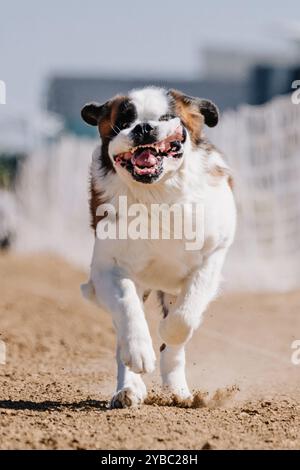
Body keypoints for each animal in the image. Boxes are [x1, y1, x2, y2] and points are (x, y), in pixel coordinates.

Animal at [81, 87, 236, 408]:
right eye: (123, 121)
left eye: (167, 118)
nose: (143, 128)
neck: (158, 194)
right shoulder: (108, 268)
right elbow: (128, 309)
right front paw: (139, 352)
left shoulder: (212, 255)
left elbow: (184, 318)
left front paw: (167, 332)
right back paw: (128, 390)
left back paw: (178, 392)